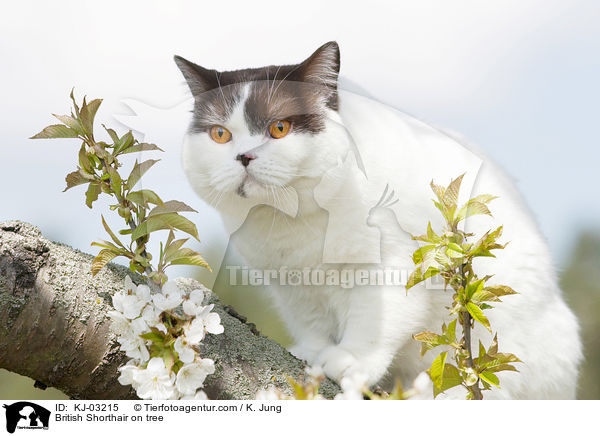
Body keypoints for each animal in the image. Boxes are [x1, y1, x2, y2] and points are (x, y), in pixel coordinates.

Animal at [173, 41, 580, 398]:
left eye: (279, 128)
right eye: (220, 134)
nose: (243, 156)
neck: (292, 222)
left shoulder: (392, 267)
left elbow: (374, 322)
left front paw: (351, 361)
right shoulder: (292, 285)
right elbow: (312, 323)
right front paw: (311, 353)